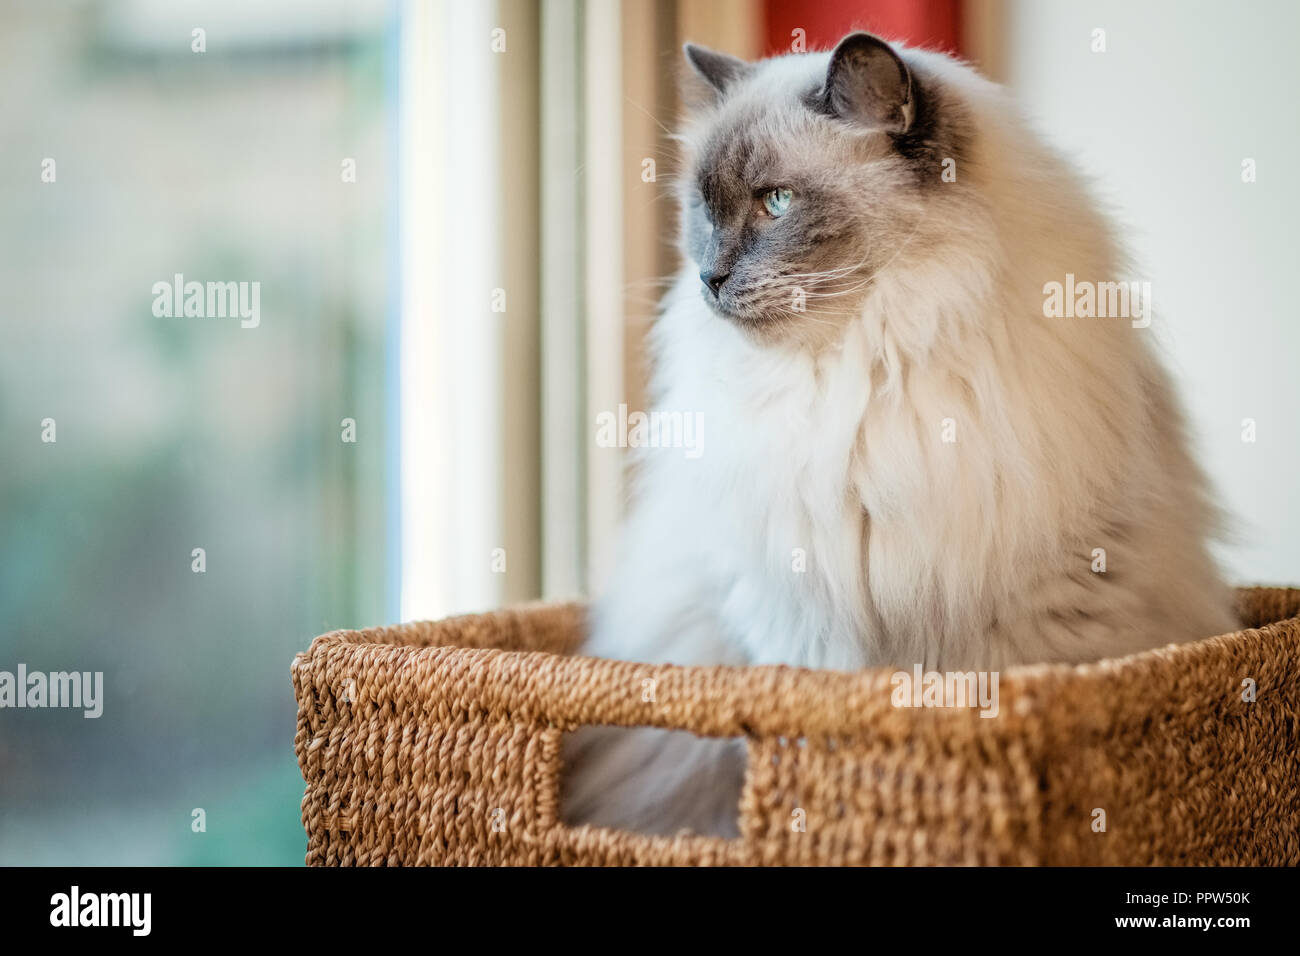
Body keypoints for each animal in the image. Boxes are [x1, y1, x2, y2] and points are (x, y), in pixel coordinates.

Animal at [564, 27, 1232, 837]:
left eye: (776, 202)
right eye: (702, 208)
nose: (708, 279)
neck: (862, 366)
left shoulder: (1038, 621)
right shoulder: (797, 621)